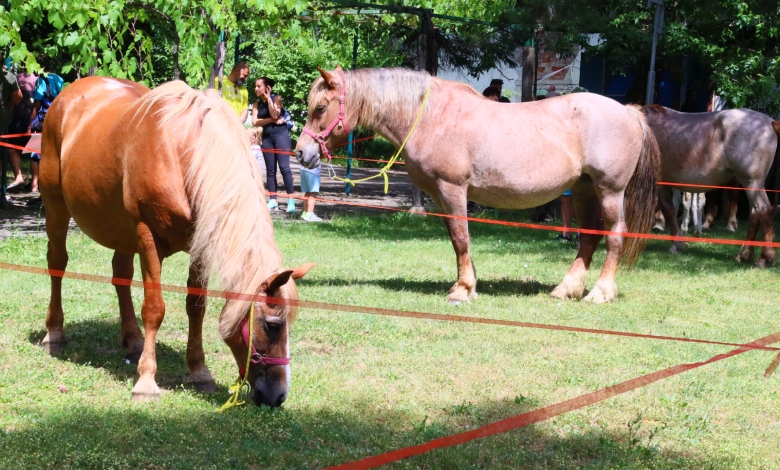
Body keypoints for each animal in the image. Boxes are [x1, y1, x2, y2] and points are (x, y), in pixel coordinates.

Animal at [38, 78, 314, 408]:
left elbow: (196, 306)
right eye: (273, 325)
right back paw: (54, 335)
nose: (277, 396)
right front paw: (146, 381)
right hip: (56, 207)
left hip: (121, 230)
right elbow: (154, 309)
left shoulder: (201, 243)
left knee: (121, 275)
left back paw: (133, 340)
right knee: (57, 264)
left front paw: (199, 372)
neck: (183, 155)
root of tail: (68, 94)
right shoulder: (147, 237)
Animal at [644, 107, 776, 268]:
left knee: (763, 210)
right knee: (755, 214)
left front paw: (677, 244)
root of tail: (770, 122)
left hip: (752, 182)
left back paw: (765, 258)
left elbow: (668, 210)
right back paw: (743, 254)